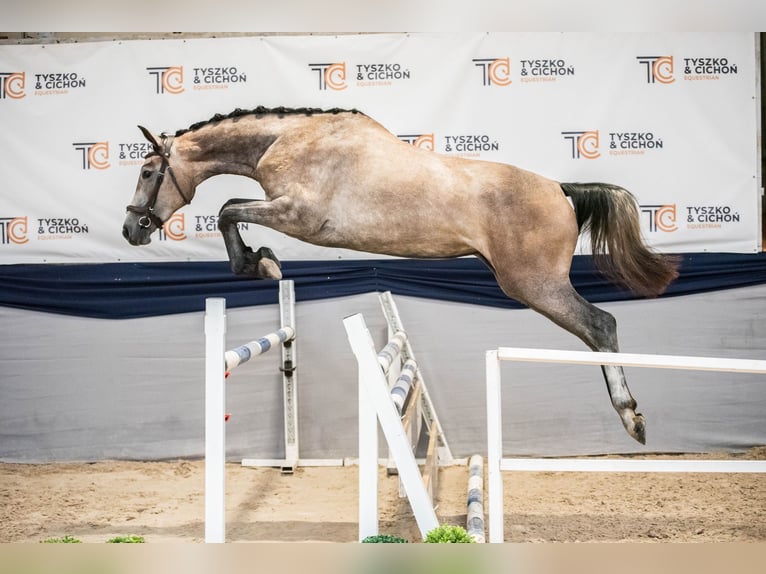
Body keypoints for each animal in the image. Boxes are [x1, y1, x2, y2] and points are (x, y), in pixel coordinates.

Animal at [122, 106, 679, 444]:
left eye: (148, 172)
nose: (131, 229)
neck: (289, 141)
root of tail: (560, 189)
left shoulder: (298, 215)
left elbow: (228, 210)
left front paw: (257, 262)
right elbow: (232, 209)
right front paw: (260, 260)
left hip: (533, 284)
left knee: (601, 325)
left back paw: (631, 416)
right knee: (596, 330)